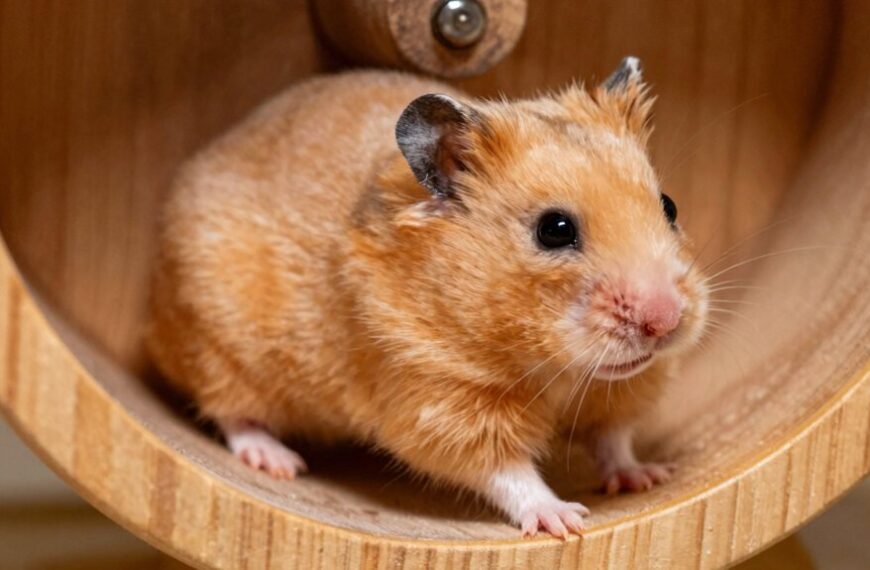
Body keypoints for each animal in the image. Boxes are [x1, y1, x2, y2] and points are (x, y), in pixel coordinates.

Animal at [146, 57, 709, 538]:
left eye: (669, 205)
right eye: (555, 230)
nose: (665, 320)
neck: (552, 368)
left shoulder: (622, 390)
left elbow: (614, 438)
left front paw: (648, 477)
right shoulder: (438, 398)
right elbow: (505, 469)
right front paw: (566, 521)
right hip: (220, 348)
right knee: (231, 412)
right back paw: (280, 462)